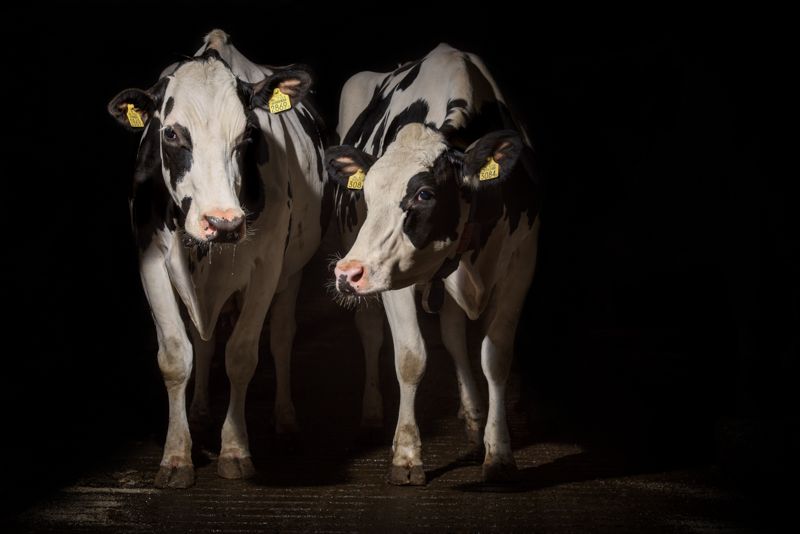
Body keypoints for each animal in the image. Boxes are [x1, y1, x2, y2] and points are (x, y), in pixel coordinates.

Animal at [107, 30, 332, 488]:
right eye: (171, 134)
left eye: (247, 134)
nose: (223, 222)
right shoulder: (150, 262)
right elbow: (177, 357)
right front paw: (177, 454)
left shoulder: (267, 267)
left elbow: (242, 355)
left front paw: (234, 449)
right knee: (204, 343)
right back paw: (198, 411)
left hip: (292, 272)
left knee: (281, 336)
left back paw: (285, 419)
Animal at [325, 44, 540, 484]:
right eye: (366, 193)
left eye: (424, 194)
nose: (346, 273)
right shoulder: (394, 275)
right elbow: (410, 359)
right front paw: (406, 455)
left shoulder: (522, 260)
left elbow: (495, 356)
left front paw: (498, 452)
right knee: (370, 331)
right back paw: (372, 412)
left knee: (454, 334)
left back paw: (473, 413)